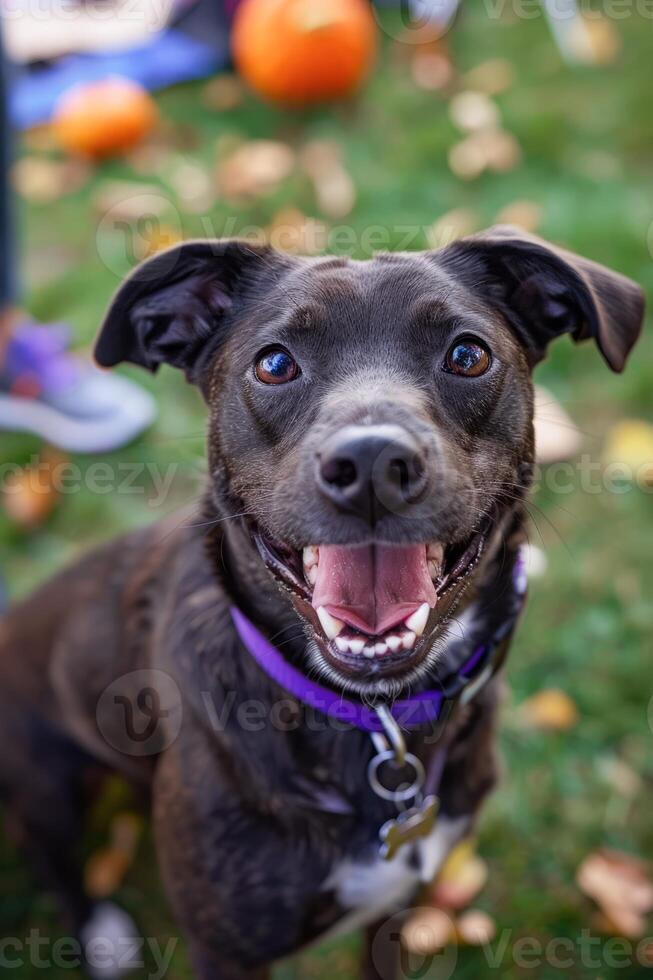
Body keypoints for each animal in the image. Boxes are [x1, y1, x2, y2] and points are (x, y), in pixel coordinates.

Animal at [0, 228, 640, 980]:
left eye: (467, 354)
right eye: (275, 363)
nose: (372, 464)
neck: (378, 726)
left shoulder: (399, 904)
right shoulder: (224, 949)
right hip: (45, 780)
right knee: (53, 856)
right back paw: (101, 933)